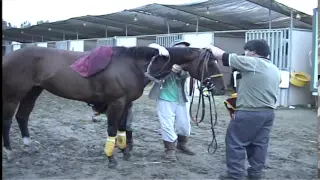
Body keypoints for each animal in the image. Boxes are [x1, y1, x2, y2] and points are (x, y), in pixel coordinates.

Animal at [1, 45, 225, 168]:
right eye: (211, 63)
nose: (221, 88)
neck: (133, 65)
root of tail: (8, 56)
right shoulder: (116, 102)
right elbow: (112, 129)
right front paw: (111, 158)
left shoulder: (126, 102)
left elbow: (123, 128)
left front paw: (125, 152)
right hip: (13, 95)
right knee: (7, 121)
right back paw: (9, 152)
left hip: (33, 91)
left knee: (22, 117)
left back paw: (28, 146)